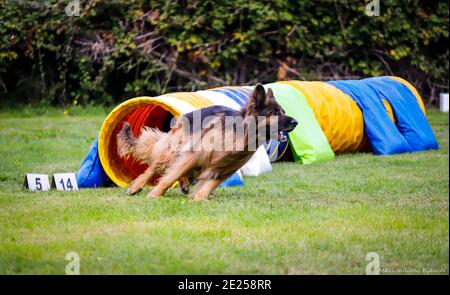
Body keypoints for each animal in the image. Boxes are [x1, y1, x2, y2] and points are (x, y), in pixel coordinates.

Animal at [118, 84, 298, 202]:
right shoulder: (193, 155)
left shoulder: (225, 169)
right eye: (274, 113)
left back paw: (184, 185)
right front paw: (154, 195)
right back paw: (137, 186)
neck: (242, 134)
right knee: (155, 167)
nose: (296, 122)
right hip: (173, 150)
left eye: (283, 111)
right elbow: (170, 177)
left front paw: (199, 198)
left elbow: (209, 185)